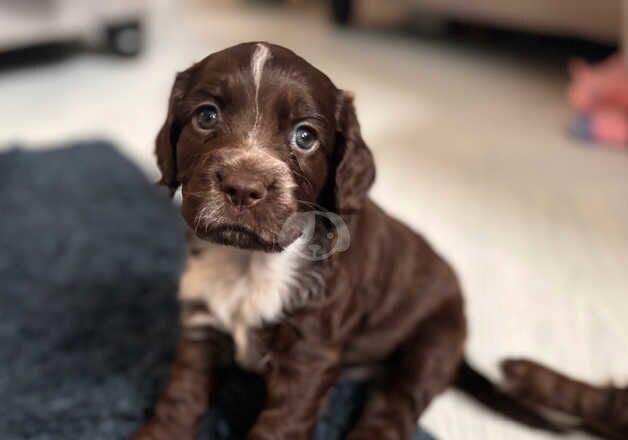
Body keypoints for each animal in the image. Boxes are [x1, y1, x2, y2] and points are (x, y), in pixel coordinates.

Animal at [131, 42, 544, 440]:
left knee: (394, 406)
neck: (249, 263)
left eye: (305, 137)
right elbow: (183, 395)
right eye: (206, 116)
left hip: (432, 343)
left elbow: (281, 423)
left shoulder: (309, 353)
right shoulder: (202, 319)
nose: (243, 188)